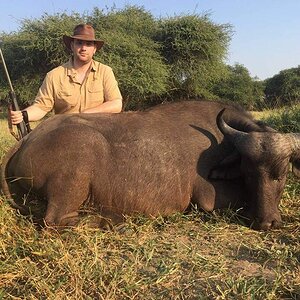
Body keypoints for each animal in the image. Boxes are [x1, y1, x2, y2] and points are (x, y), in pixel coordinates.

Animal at [1, 101, 300, 230]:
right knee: (54, 221)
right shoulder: (207, 197)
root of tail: (29, 138)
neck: (221, 137)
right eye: (248, 173)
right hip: (80, 159)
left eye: (282, 173)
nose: (268, 222)